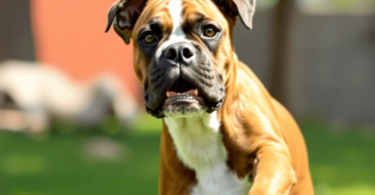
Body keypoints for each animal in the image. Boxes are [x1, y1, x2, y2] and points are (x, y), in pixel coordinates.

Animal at [105, 0, 314, 195]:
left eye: (210, 31)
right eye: (148, 37)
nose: (178, 50)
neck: (198, 129)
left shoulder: (271, 150)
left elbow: (263, 185)